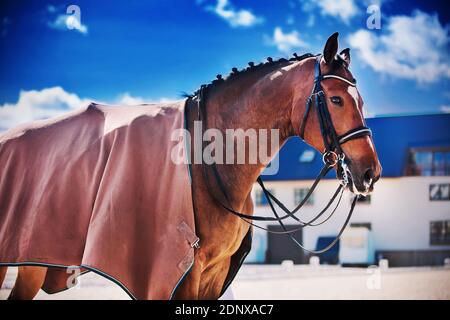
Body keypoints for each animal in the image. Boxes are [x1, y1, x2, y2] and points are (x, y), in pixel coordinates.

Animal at [0, 31, 380, 298]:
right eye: (336, 99)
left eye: (361, 100)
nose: (369, 172)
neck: (212, 162)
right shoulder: (183, 273)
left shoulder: (215, 271)